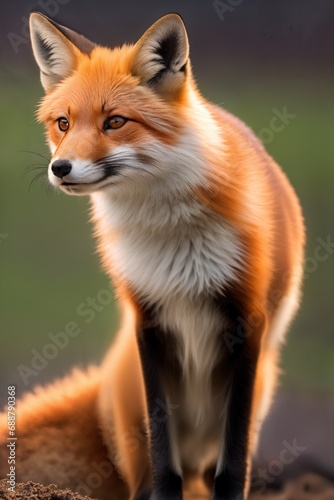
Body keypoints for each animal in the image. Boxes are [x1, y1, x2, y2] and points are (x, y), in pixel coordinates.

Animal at [0, 11, 304, 500]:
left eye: (115, 121)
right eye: (63, 123)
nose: (59, 168)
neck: (172, 237)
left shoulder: (247, 322)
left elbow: (234, 452)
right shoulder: (148, 320)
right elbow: (163, 447)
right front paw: (164, 494)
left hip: (264, 380)